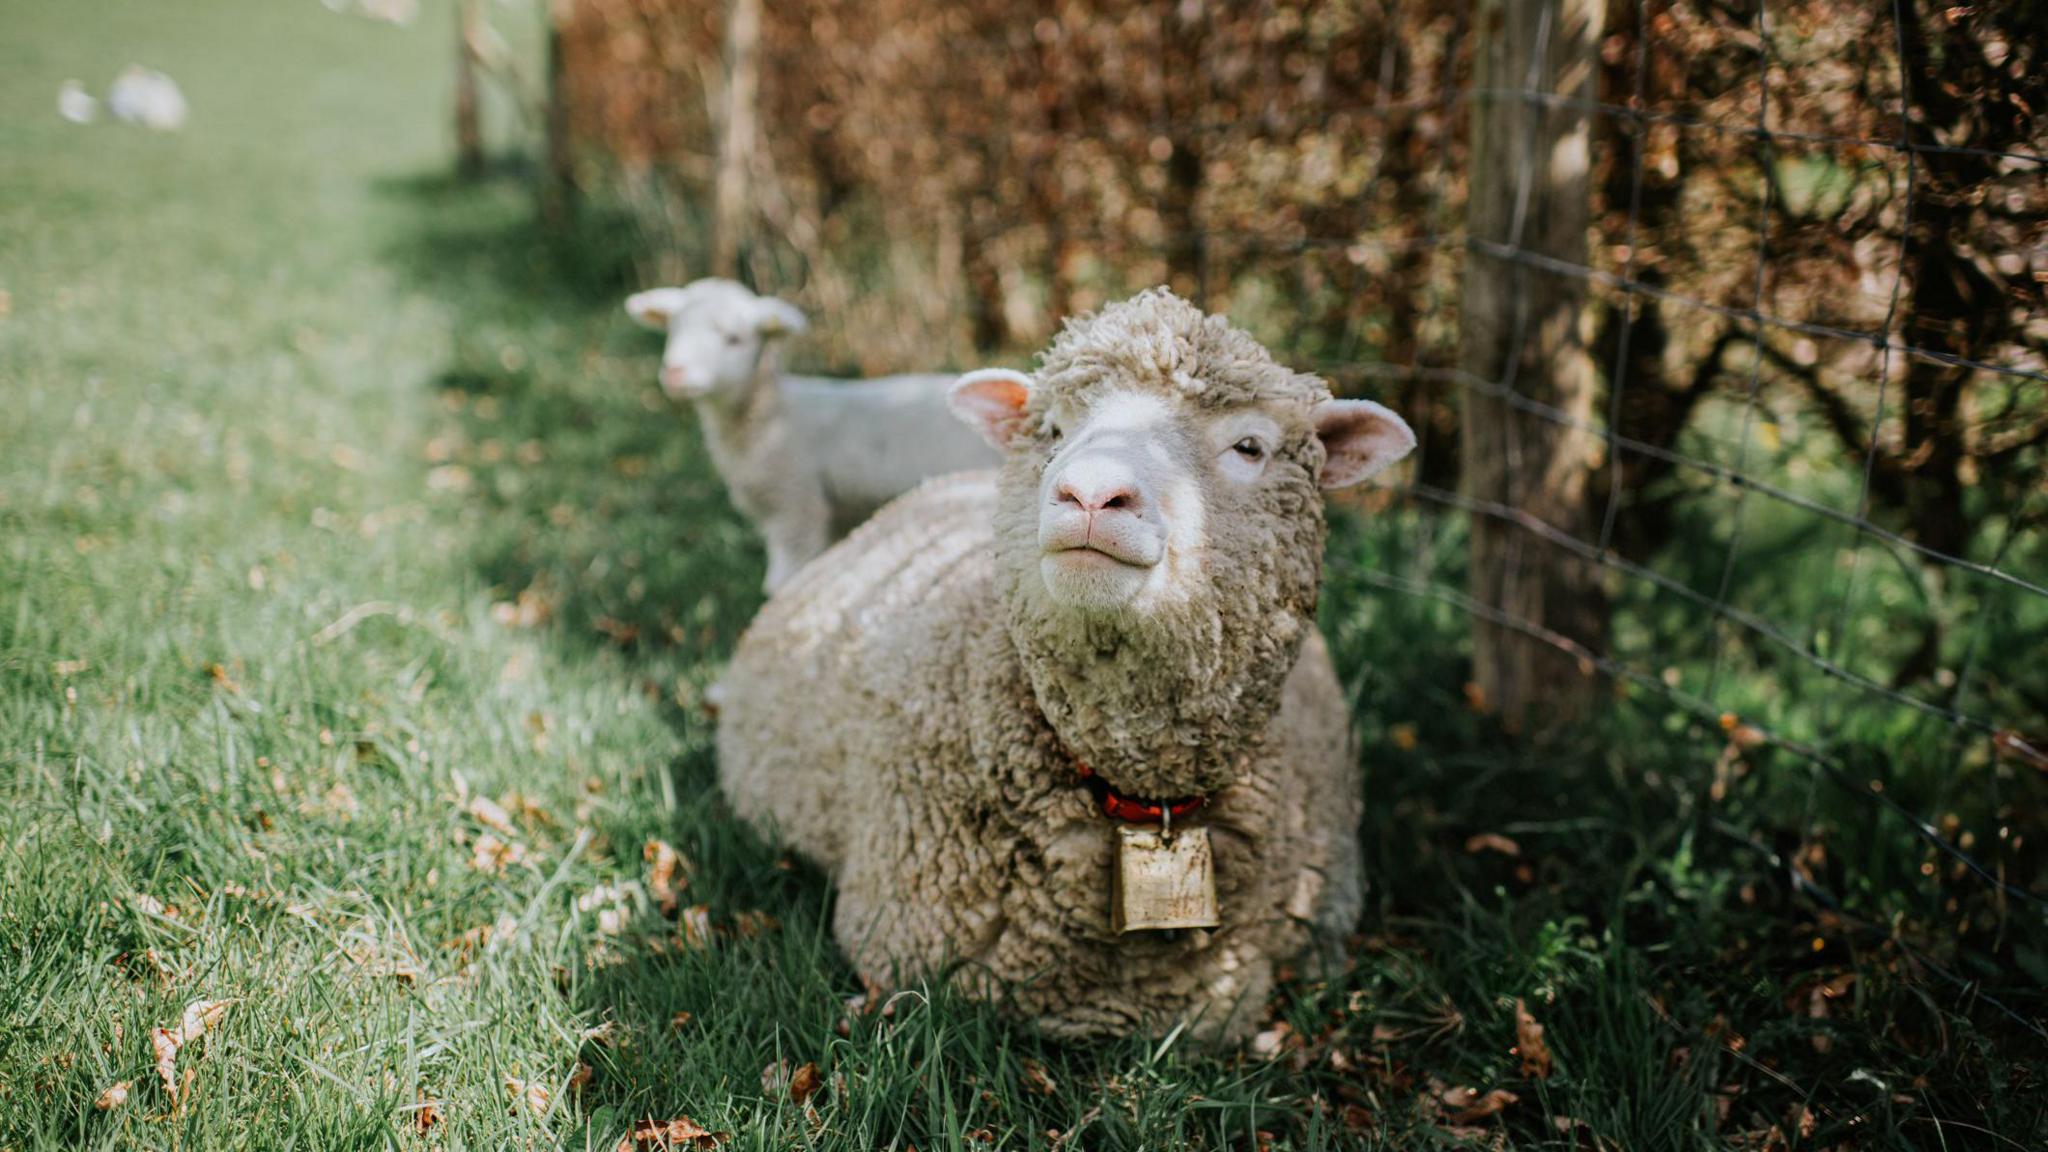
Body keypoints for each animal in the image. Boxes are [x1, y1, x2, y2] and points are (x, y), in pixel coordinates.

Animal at [626, 279, 997, 592]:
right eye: (672, 329)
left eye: (734, 339)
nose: (674, 373)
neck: (773, 416)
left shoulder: (797, 506)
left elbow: (784, 583)